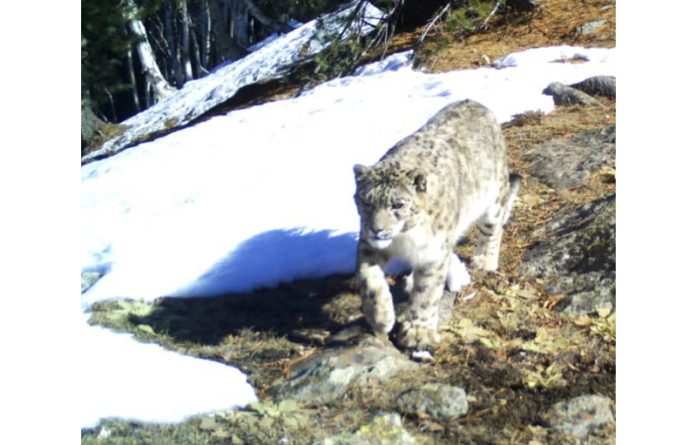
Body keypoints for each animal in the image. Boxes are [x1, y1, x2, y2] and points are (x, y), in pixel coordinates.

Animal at [350, 99, 520, 352]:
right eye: (366, 201)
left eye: (398, 205)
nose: (377, 229)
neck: (404, 238)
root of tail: (474, 102)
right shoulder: (367, 245)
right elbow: (369, 279)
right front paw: (381, 317)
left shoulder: (433, 253)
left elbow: (427, 293)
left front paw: (418, 332)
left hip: (493, 201)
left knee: (493, 229)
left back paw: (485, 259)